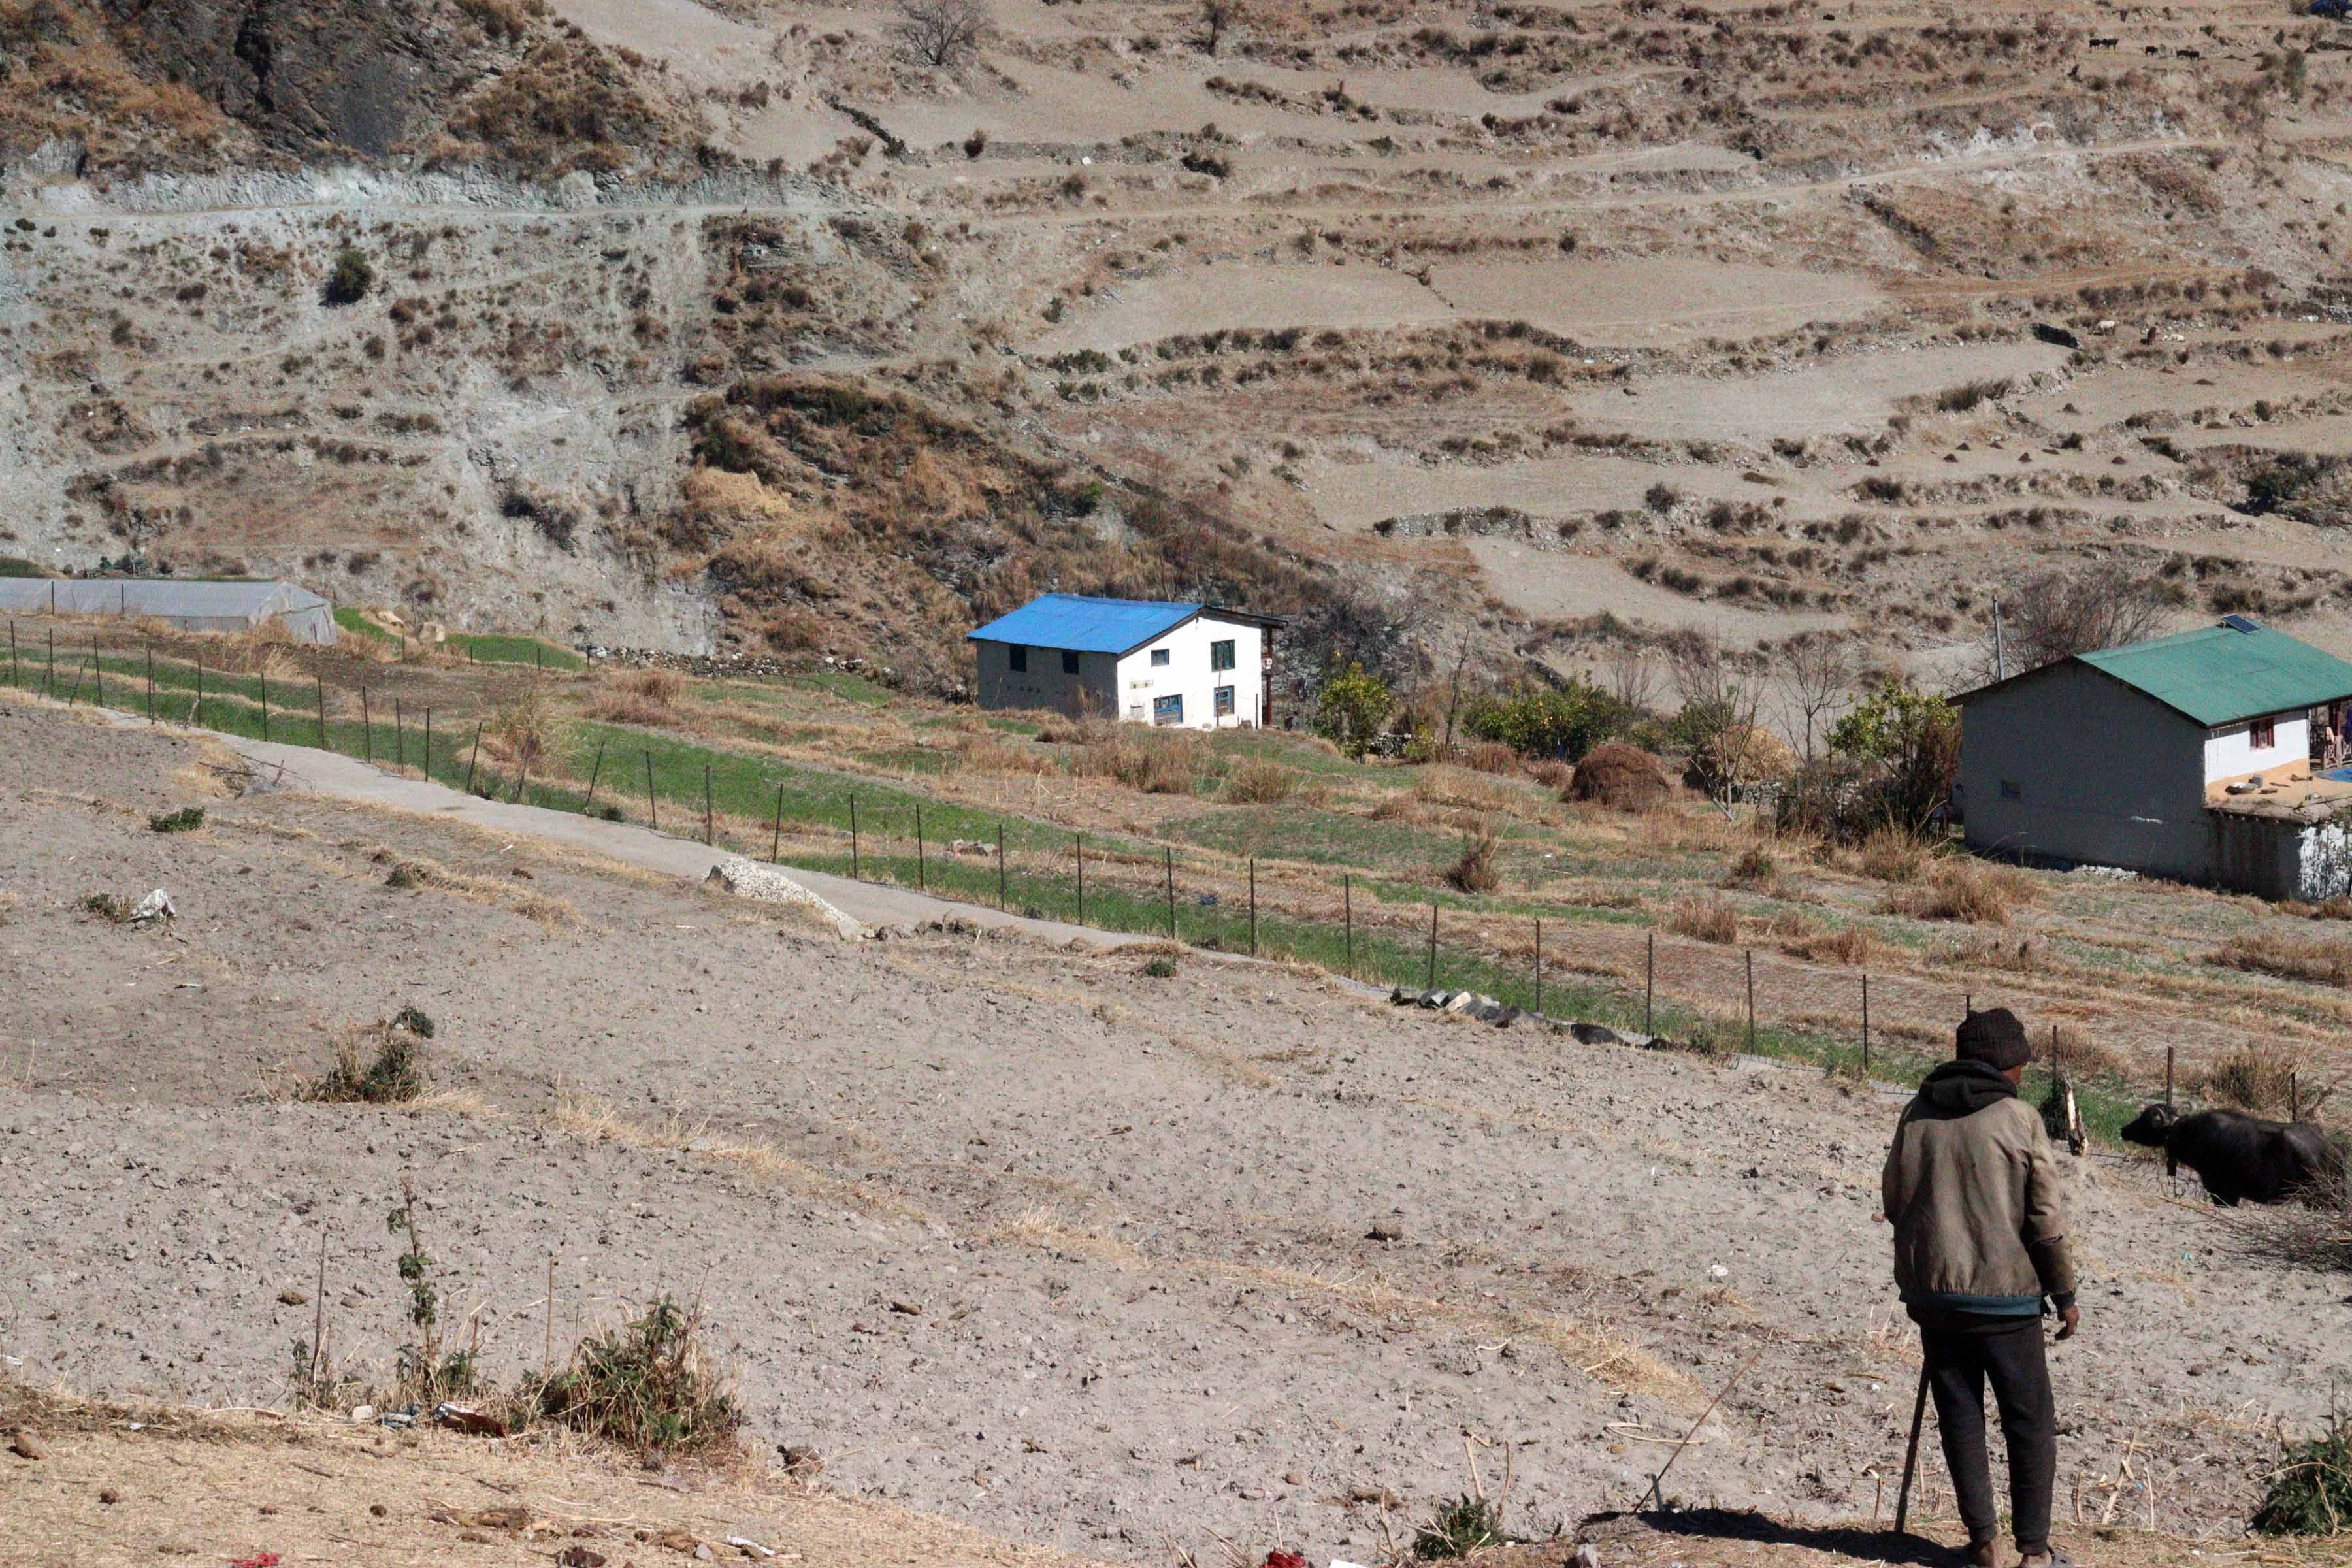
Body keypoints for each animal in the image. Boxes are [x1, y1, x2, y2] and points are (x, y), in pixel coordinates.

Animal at [2126, 1105, 2342, 1213]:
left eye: (2145, 1120)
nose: (2124, 1130)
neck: (2188, 1132)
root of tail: (2330, 1148)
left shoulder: (2223, 1194)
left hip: (2317, 1198)